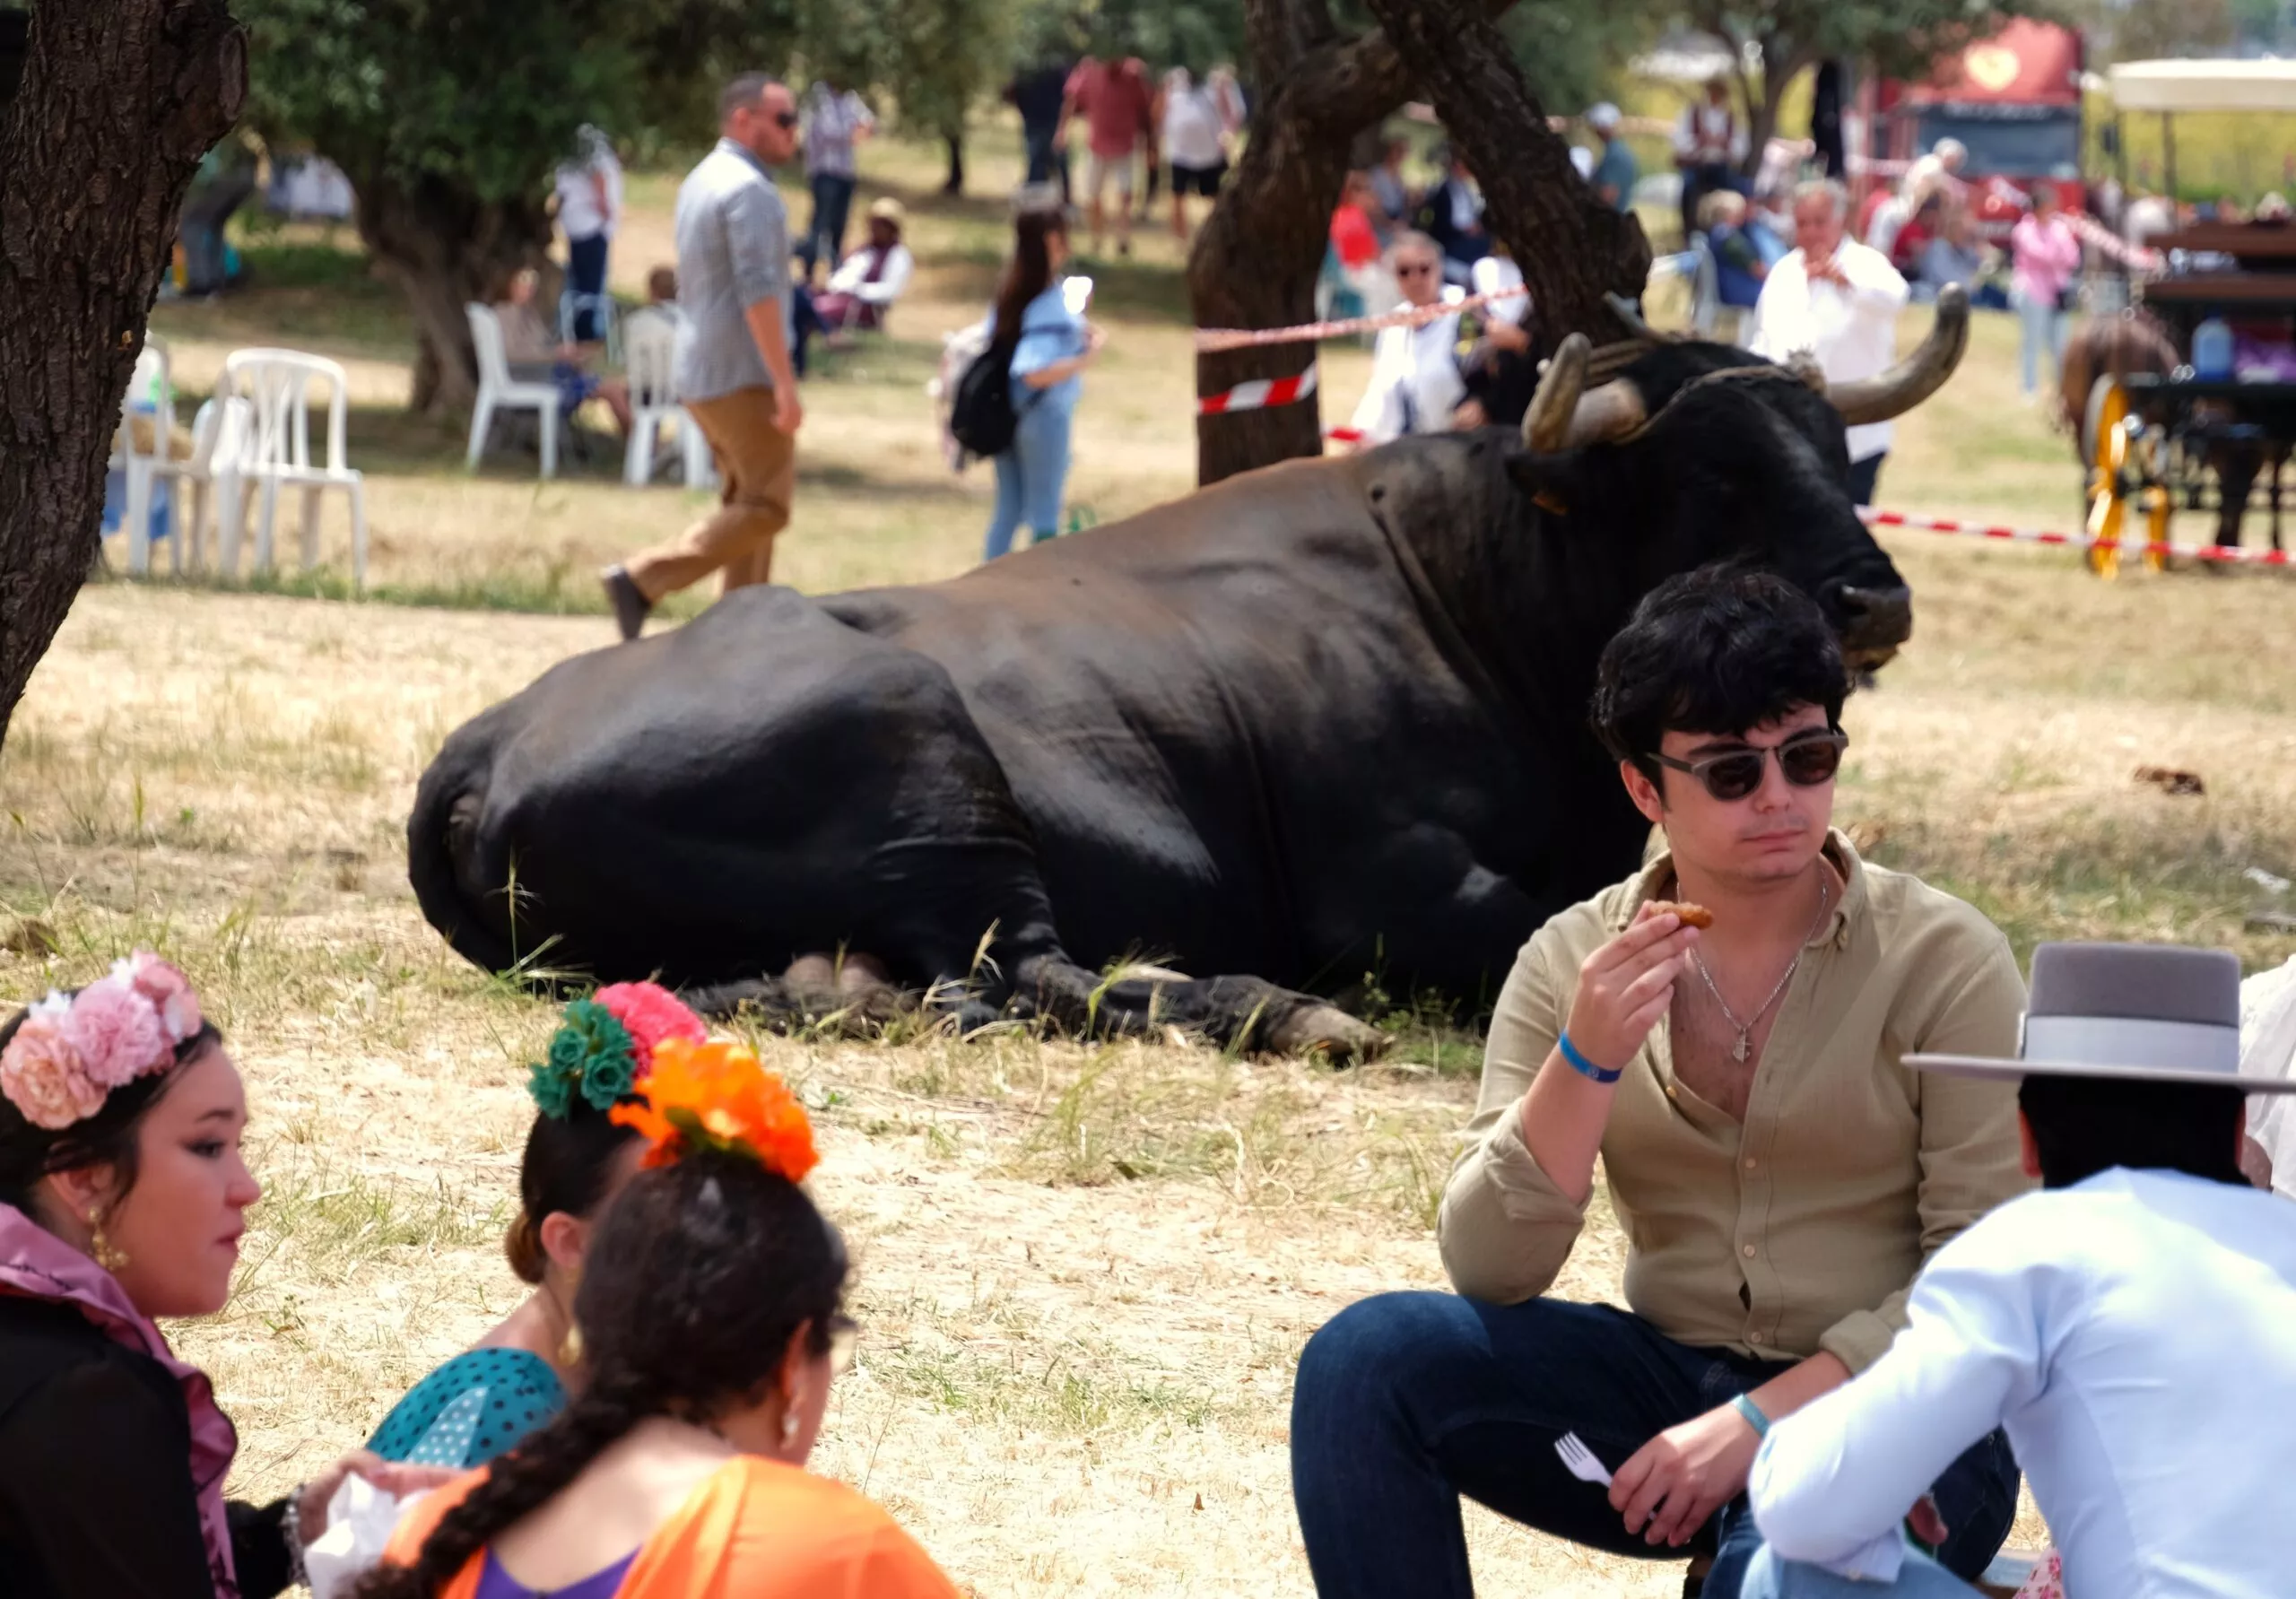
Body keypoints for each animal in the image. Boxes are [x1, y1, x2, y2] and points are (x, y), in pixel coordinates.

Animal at [408, 291, 1974, 1056]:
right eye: (1713, 477)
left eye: (1835, 456)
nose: (1872, 595)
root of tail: (486, 738)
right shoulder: (1390, 888)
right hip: (929, 767)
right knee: (1034, 972)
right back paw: (1282, 1010)